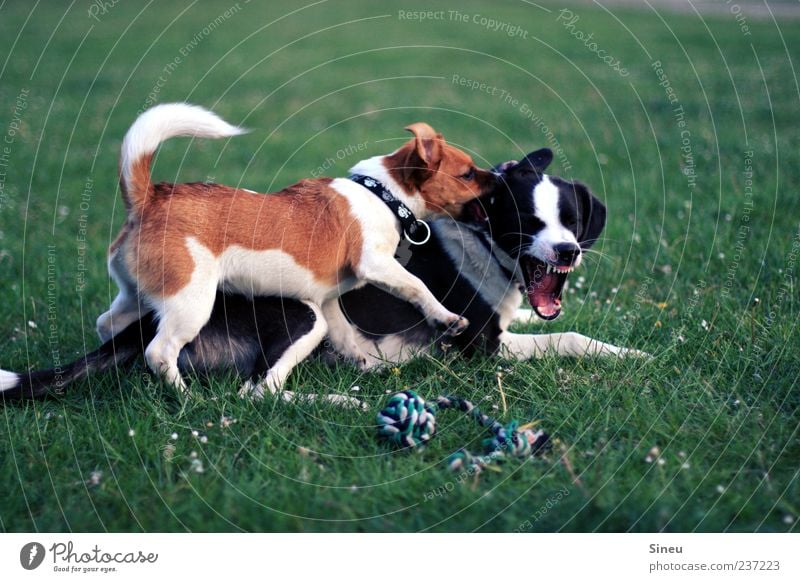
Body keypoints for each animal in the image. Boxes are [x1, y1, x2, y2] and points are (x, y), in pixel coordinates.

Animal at [0, 148, 644, 404]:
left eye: (573, 221)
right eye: (526, 223)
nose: (567, 252)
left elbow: (561, 327)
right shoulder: (482, 347)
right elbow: (566, 336)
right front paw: (630, 355)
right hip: (298, 318)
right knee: (256, 391)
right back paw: (339, 398)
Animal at [97, 104, 496, 396]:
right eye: (467, 174)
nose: (499, 174)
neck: (382, 193)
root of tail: (149, 198)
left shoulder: (328, 302)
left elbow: (345, 334)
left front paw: (360, 363)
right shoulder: (375, 265)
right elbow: (417, 287)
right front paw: (447, 318)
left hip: (137, 296)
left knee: (109, 324)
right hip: (191, 302)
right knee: (160, 352)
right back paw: (186, 397)